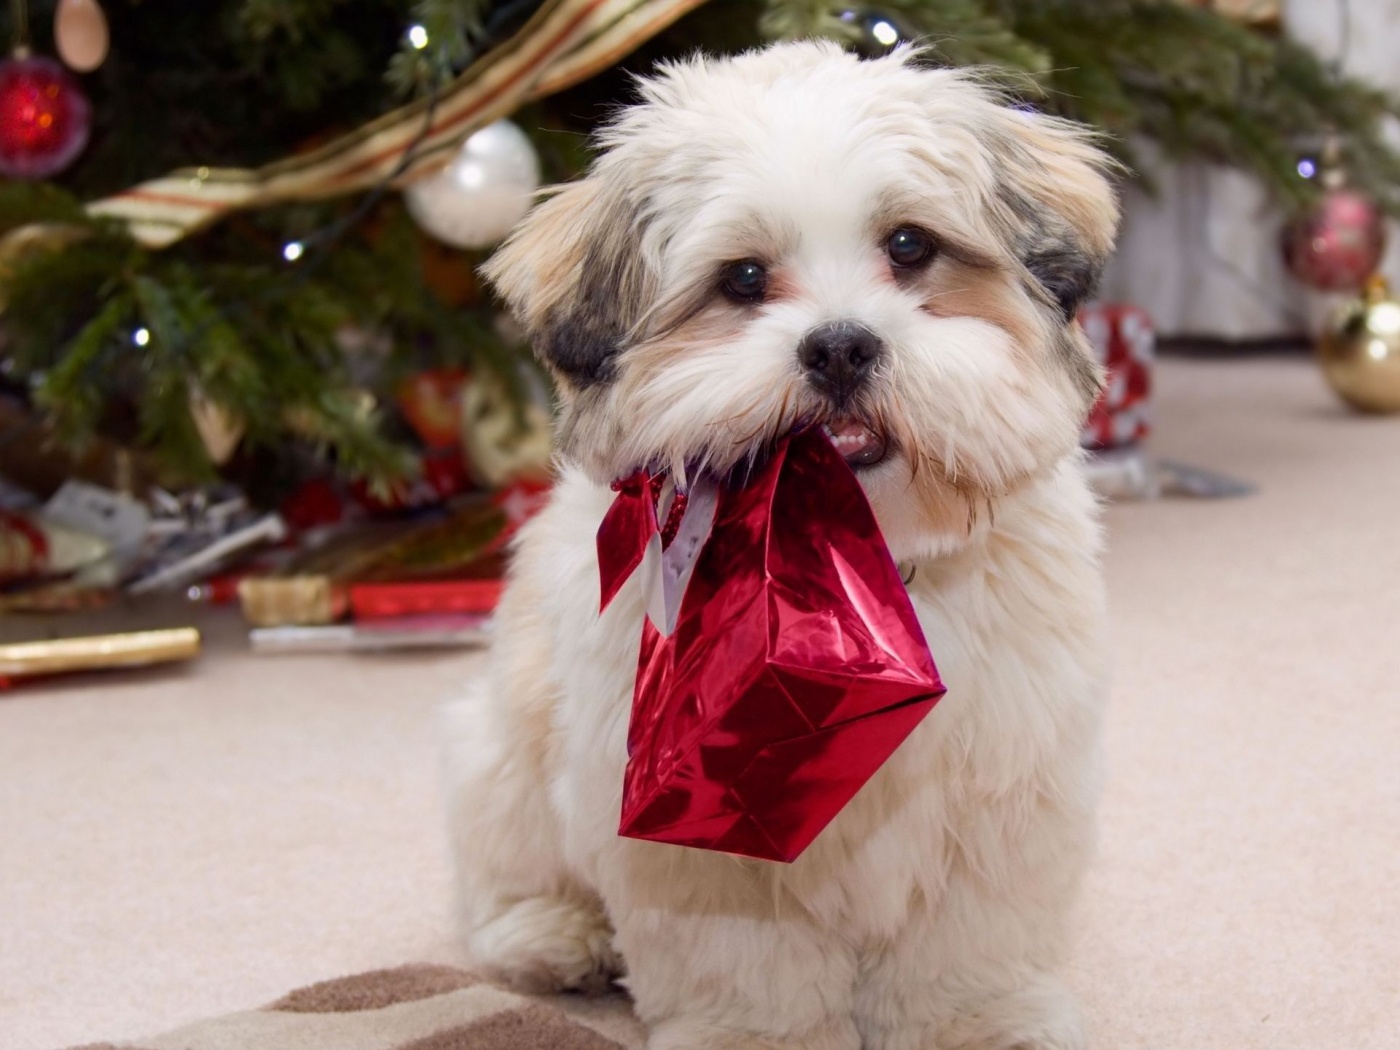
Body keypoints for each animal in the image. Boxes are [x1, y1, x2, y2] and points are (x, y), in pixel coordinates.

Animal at [442, 41, 1120, 1050]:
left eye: (909, 246)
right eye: (744, 280)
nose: (840, 346)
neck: (850, 569)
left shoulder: (1000, 793)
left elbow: (967, 945)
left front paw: (980, 1020)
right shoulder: (698, 826)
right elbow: (746, 966)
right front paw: (753, 1035)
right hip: (504, 750)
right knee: (501, 874)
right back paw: (552, 934)